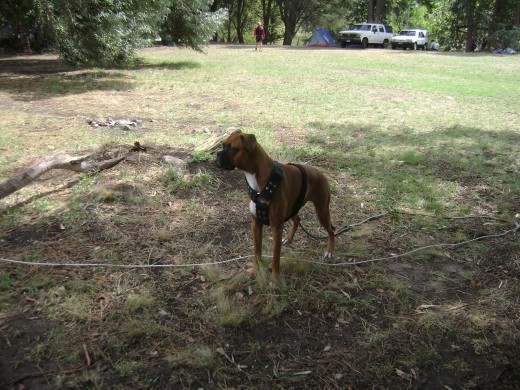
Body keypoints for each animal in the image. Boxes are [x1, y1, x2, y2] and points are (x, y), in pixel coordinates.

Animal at [214, 132, 334, 280]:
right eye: (223, 145)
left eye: (231, 149)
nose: (217, 154)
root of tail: (320, 173)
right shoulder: (256, 224)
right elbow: (257, 251)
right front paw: (256, 270)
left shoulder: (276, 227)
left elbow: (275, 257)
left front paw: (275, 278)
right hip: (293, 207)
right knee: (297, 220)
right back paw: (288, 238)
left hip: (321, 212)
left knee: (332, 230)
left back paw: (330, 251)